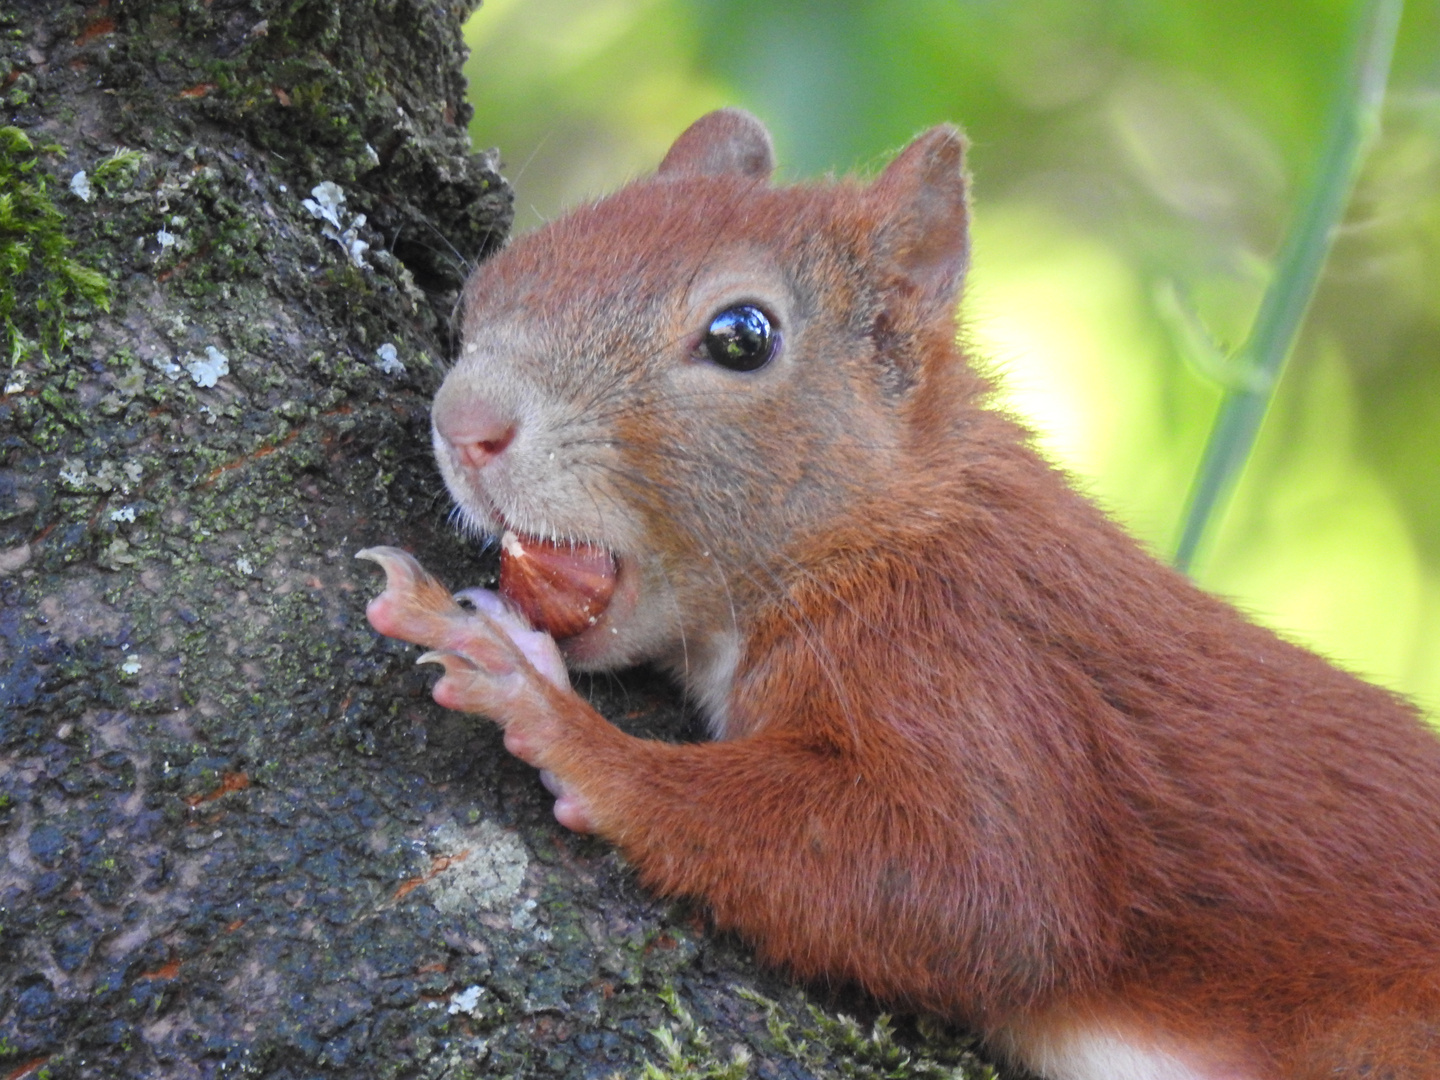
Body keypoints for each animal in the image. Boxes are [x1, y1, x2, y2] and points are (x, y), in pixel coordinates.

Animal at [360, 110, 1440, 1080]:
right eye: (499, 278)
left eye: (742, 336)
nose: (466, 421)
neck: (896, 523)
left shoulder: (976, 662)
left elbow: (979, 890)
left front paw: (539, 705)